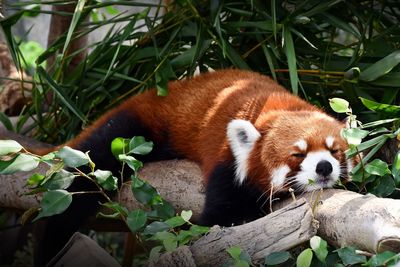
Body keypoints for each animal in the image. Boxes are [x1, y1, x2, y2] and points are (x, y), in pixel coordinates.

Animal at [31, 69, 356, 266]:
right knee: (87, 174)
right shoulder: (226, 163)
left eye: (334, 151)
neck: (279, 107)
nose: (324, 167)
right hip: (135, 130)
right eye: (297, 155)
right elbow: (221, 221)